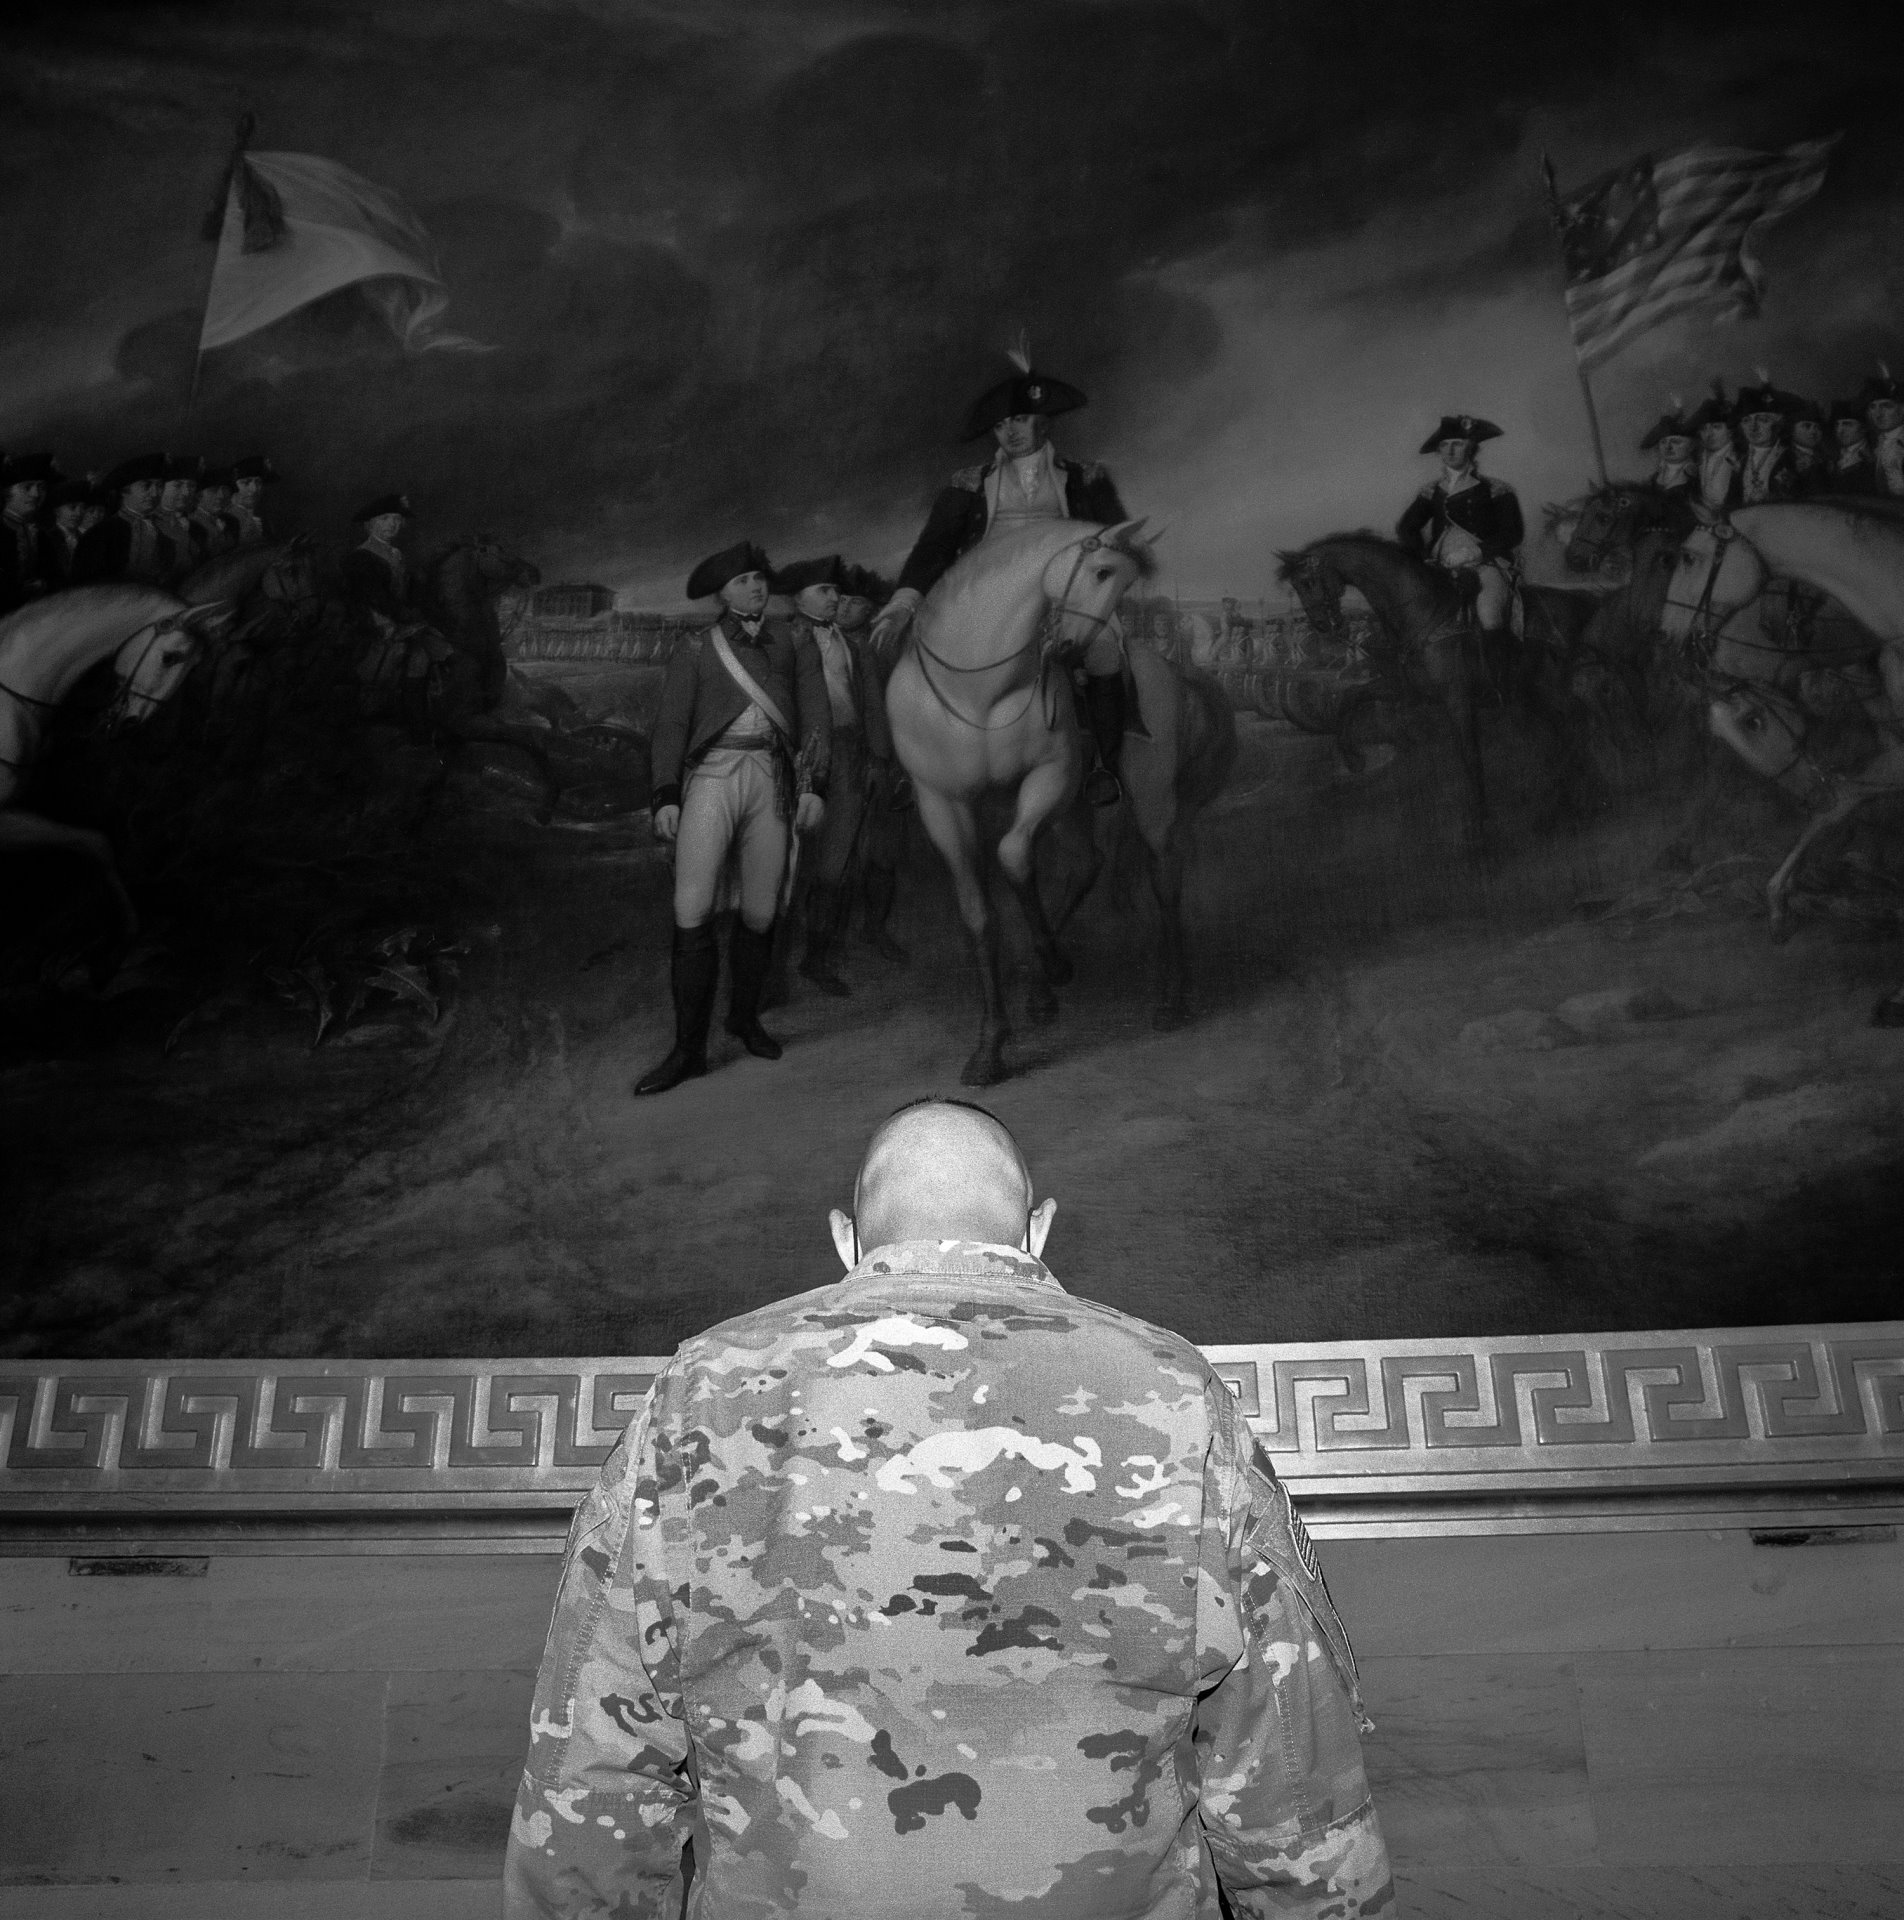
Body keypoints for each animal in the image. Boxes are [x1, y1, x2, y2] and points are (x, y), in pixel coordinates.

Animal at [0, 583, 228, 929]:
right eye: (170, 657)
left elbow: (97, 843)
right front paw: (130, 921)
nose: (132, 724)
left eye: (192, 666)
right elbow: (94, 843)